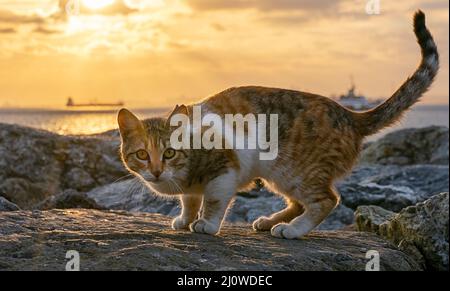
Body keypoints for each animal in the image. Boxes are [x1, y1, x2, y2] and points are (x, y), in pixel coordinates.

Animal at [117, 11, 440, 240]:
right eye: (142, 154)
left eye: (169, 152)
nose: (156, 171)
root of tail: (350, 115)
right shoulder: (191, 186)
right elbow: (189, 199)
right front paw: (185, 219)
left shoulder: (225, 170)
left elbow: (214, 199)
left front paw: (206, 223)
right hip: (280, 176)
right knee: (299, 203)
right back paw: (270, 222)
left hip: (294, 170)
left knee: (326, 200)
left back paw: (294, 229)